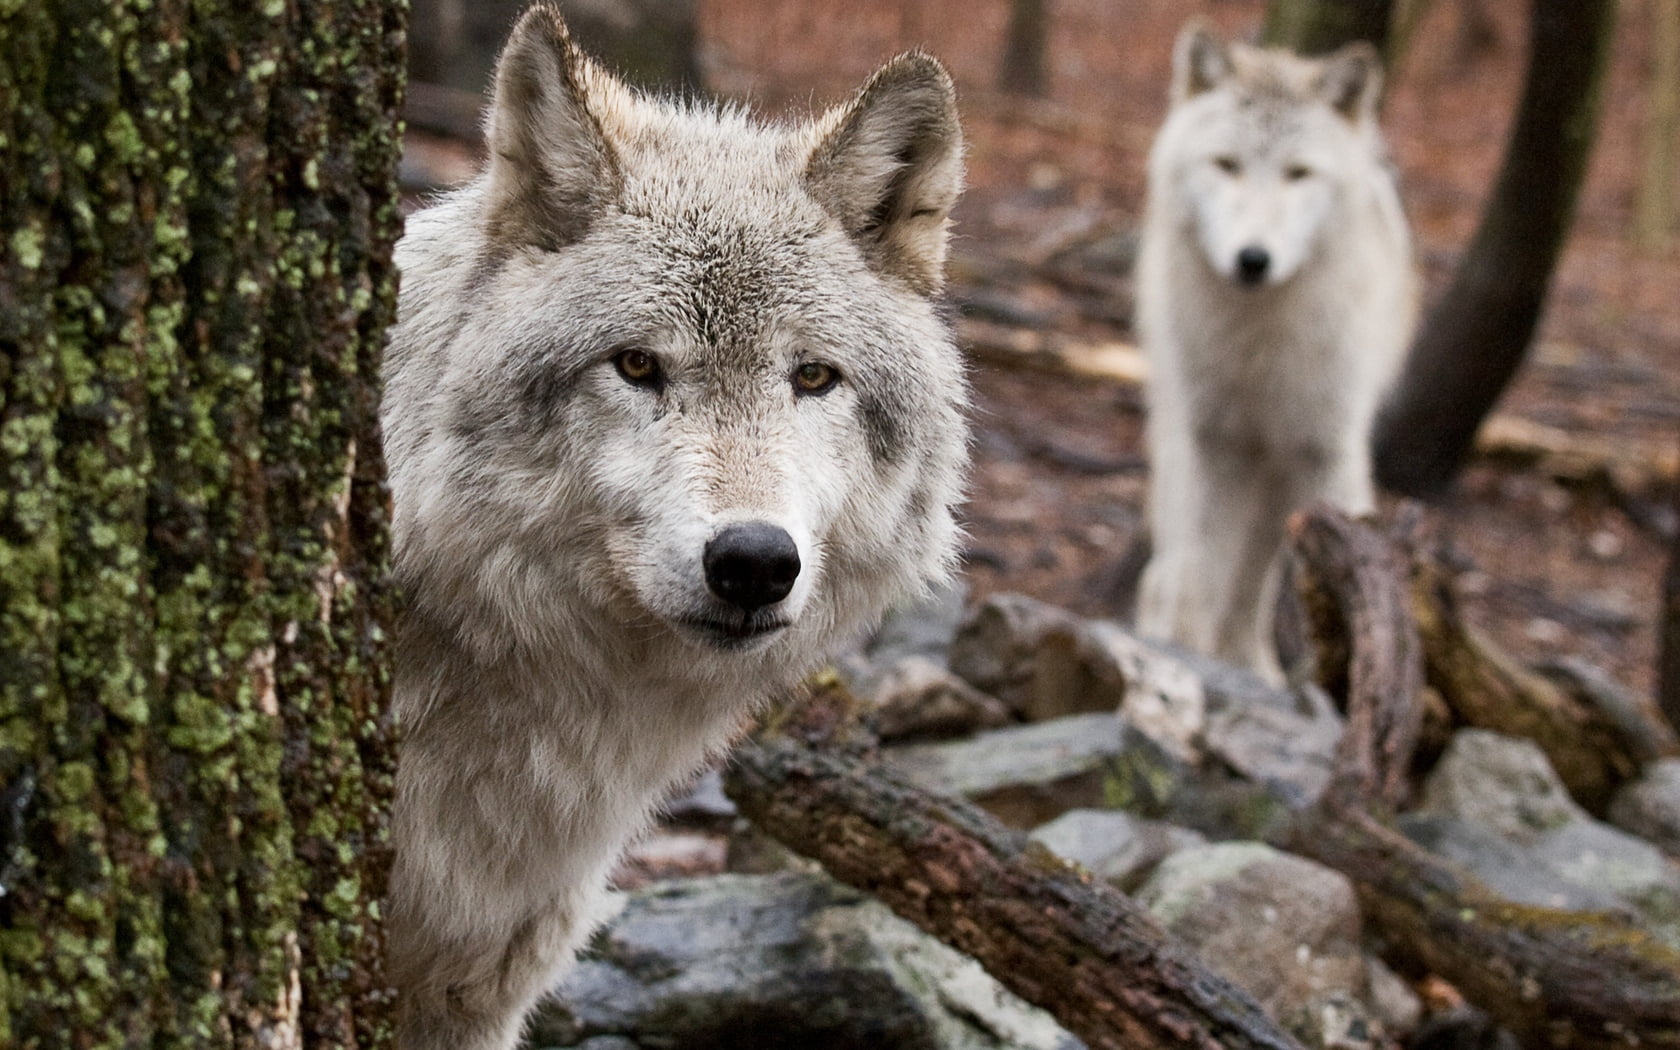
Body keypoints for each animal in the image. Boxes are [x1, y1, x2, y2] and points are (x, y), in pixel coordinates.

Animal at [1135, 22, 1417, 683]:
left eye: (1298, 174)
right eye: (1226, 164)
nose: (1253, 259)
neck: (1261, 347)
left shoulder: (1325, 450)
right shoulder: (1216, 443)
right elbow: (1199, 577)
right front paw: (1185, 656)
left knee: (1252, 583)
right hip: (1183, 437)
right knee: (1169, 567)